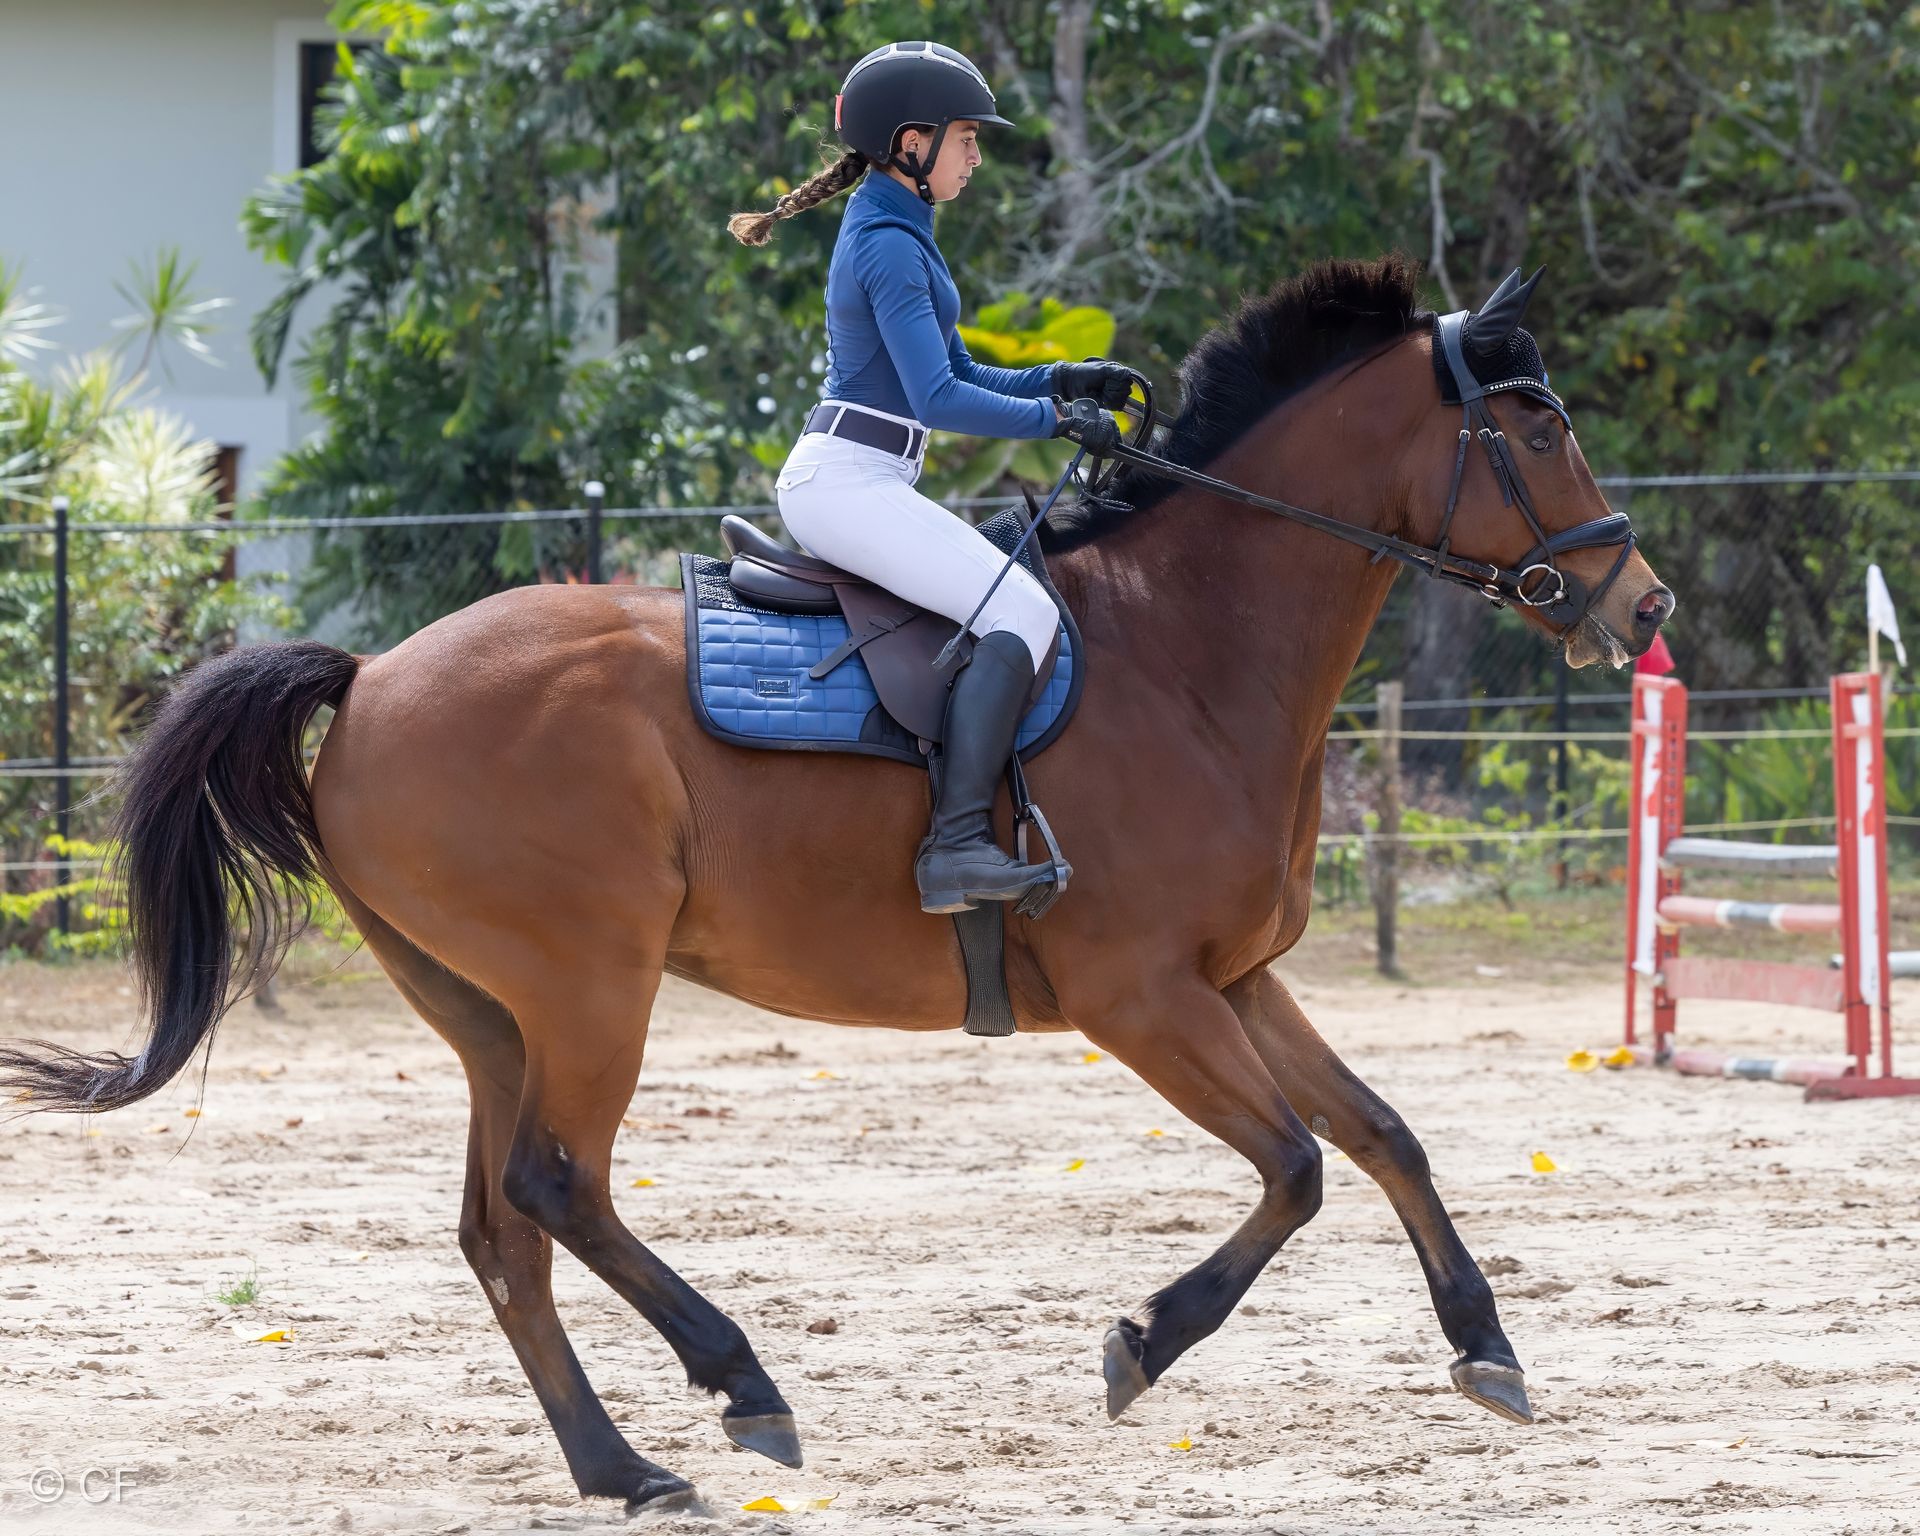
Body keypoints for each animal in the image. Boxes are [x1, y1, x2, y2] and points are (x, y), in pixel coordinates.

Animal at [2, 256, 1672, 1515]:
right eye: (1535, 430)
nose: (1640, 605)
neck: (1191, 652)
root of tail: (373, 679)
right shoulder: (1141, 998)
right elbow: (1299, 1167)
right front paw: (1144, 1343)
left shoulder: (1236, 982)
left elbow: (1385, 1136)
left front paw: (1488, 1348)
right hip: (589, 989)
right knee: (559, 1186)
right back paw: (739, 1384)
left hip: (488, 1012)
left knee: (502, 1231)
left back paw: (623, 1469)